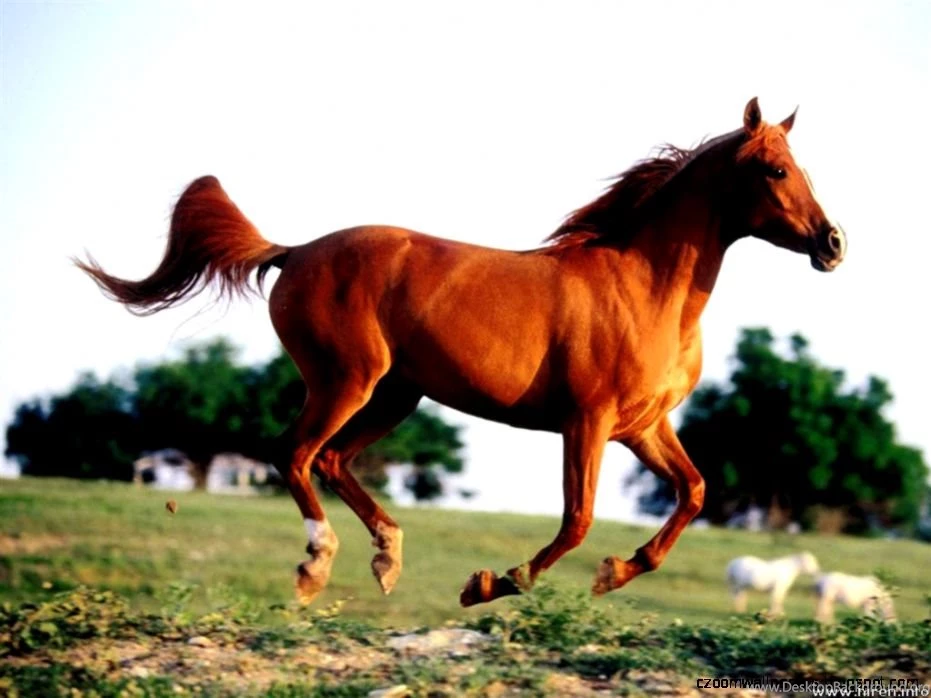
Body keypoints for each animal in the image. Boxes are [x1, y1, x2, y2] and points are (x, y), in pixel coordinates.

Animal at [75, 97, 846, 608]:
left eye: (800, 166)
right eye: (776, 170)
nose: (833, 244)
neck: (644, 287)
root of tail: (293, 252)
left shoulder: (644, 427)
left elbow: (693, 492)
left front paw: (614, 572)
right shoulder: (587, 422)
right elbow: (577, 519)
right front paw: (493, 583)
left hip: (396, 394)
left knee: (331, 459)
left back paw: (387, 560)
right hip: (345, 381)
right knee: (294, 453)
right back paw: (317, 566)